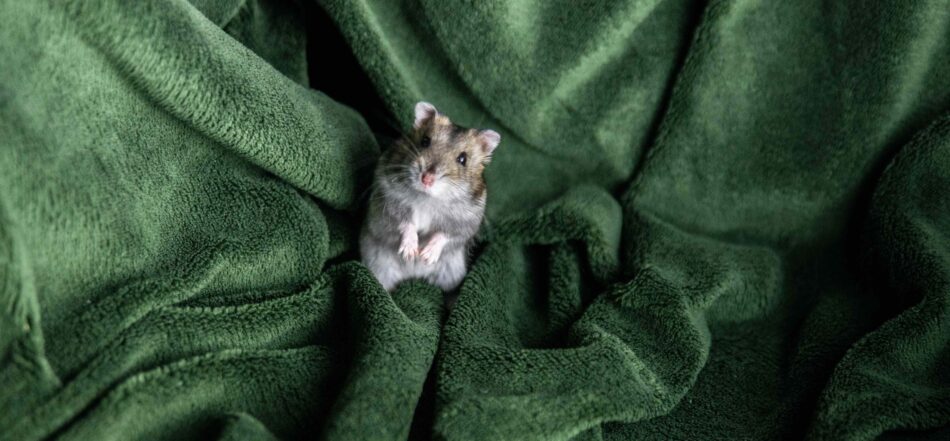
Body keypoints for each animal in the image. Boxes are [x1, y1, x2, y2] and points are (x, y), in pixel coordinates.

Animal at [360, 101, 502, 290]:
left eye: (463, 159)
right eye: (425, 141)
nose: (426, 179)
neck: (427, 198)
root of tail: (413, 275)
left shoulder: (466, 222)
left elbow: (446, 234)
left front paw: (426, 255)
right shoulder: (387, 202)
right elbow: (405, 223)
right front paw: (410, 252)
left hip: (452, 273)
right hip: (379, 267)